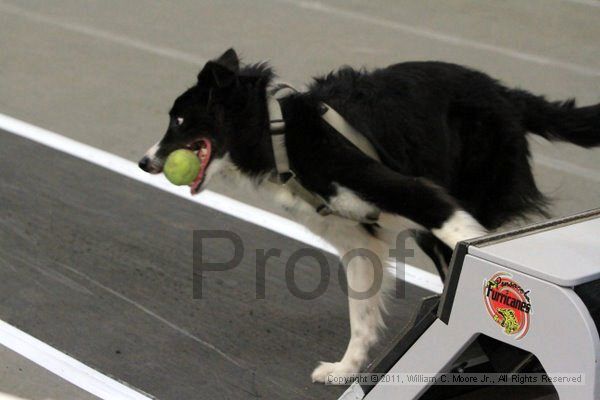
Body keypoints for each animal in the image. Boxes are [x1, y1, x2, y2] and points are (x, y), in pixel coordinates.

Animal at [138, 49, 596, 382]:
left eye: (180, 120)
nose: (144, 162)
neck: (278, 134)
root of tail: (506, 93)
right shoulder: (359, 241)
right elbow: (361, 314)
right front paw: (346, 369)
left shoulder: (415, 192)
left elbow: (467, 242)